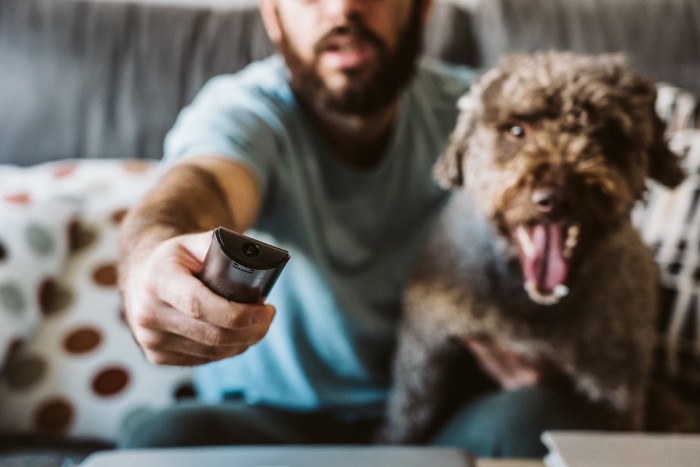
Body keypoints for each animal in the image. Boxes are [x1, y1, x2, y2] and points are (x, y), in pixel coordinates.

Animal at [382, 52, 684, 446]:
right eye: (516, 129)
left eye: (605, 133)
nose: (556, 197)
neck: (531, 306)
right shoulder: (425, 353)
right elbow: (407, 422)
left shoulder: (616, 385)